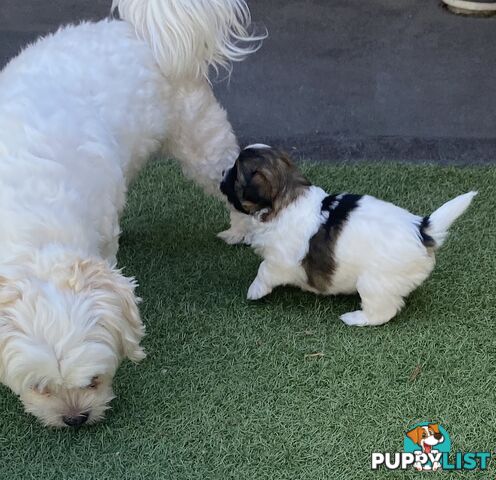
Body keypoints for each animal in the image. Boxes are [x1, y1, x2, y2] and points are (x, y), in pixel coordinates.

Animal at [0, 0, 262, 428]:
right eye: (40, 388)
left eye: (94, 379)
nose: (75, 419)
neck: (32, 227)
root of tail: (138, 30)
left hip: (201, 143)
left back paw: (243, 230)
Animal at [221, 146, 476, 326]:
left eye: (234, 173)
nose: (222, 171)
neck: (286, 197)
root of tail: (422, 229)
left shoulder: (280, 260)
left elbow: (264, 269)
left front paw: (255, 290)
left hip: (374, 283)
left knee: (383, 312)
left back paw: (355, 318)